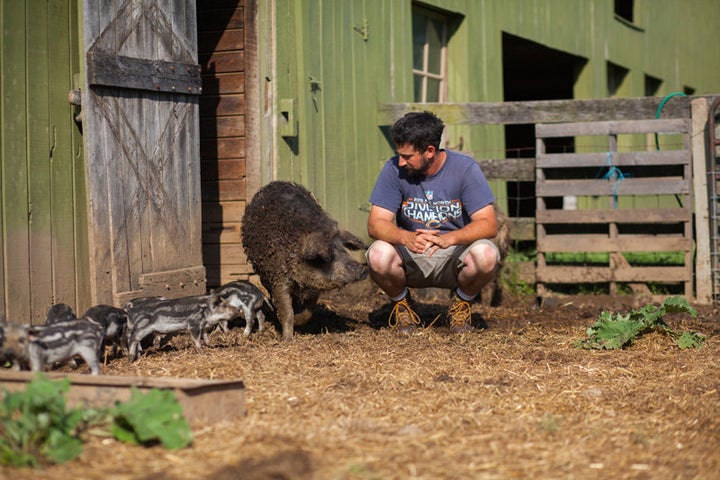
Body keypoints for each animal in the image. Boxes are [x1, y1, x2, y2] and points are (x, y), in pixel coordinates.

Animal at [242, 181, 368, 342]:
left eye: (343, 248)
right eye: (328, 257)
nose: (363, 269)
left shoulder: (314, 289)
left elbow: (309, 312)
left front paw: (299, 322)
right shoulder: (279, 280)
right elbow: (287, 312)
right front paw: (287, 340)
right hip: (263, 273)